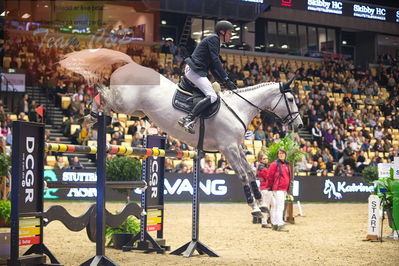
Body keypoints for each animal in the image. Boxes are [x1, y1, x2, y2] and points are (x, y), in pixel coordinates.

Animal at [59, 48, 304, 217]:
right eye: (291, 99)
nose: (300, 125)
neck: (239, 107)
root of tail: (130, 64)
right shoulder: (227, 148)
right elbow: (243, 174)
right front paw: (254, 208)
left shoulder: (237, 147)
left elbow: (252, 172)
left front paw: (262, 205)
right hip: (126, 105)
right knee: (103, 92)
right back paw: (92, 112)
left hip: (136, 110)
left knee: (107, 99)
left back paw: (94, 115)